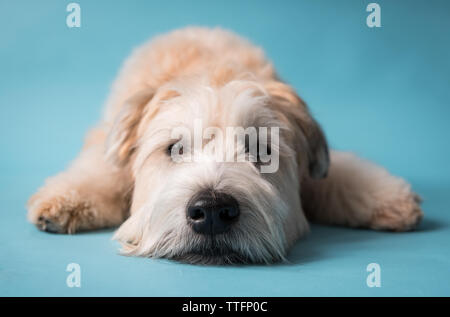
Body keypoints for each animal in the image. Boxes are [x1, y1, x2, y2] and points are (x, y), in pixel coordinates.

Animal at [26, 27, 424, 264]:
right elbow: (101, 171)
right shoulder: (107, 147)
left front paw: (389, 197)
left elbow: (341, 175)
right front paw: (65, 202)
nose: (213, 211)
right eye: (175, 148)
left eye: (261, 150)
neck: (215, 72)